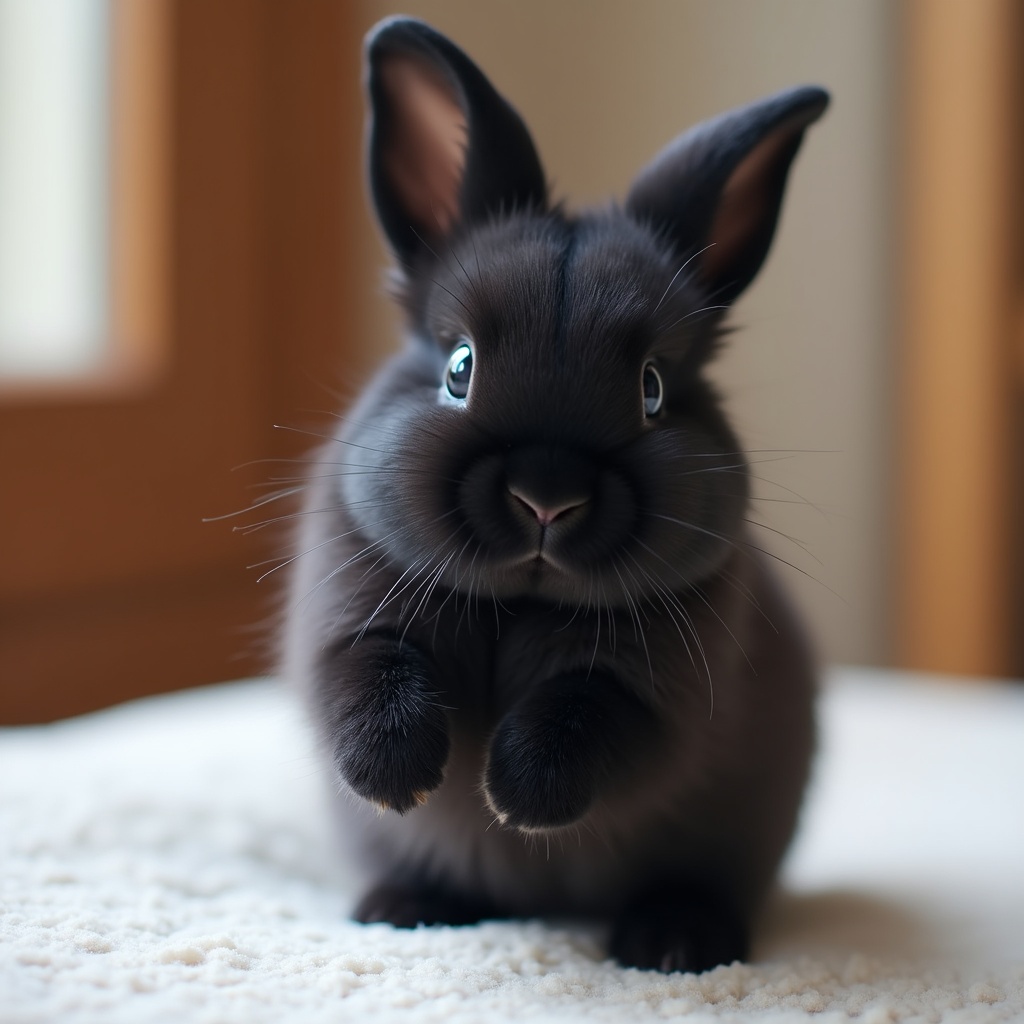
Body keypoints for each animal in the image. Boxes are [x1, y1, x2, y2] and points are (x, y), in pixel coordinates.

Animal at [281, 15, 828, 974]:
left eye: (652, 389)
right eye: (459, 368)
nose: (546, 499)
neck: (521, 603)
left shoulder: (655, 698)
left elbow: (586, 722)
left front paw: (516, 800)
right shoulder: (348, 628)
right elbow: (370, 680)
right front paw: (400, 784)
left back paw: (674, 943)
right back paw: (405, 910)